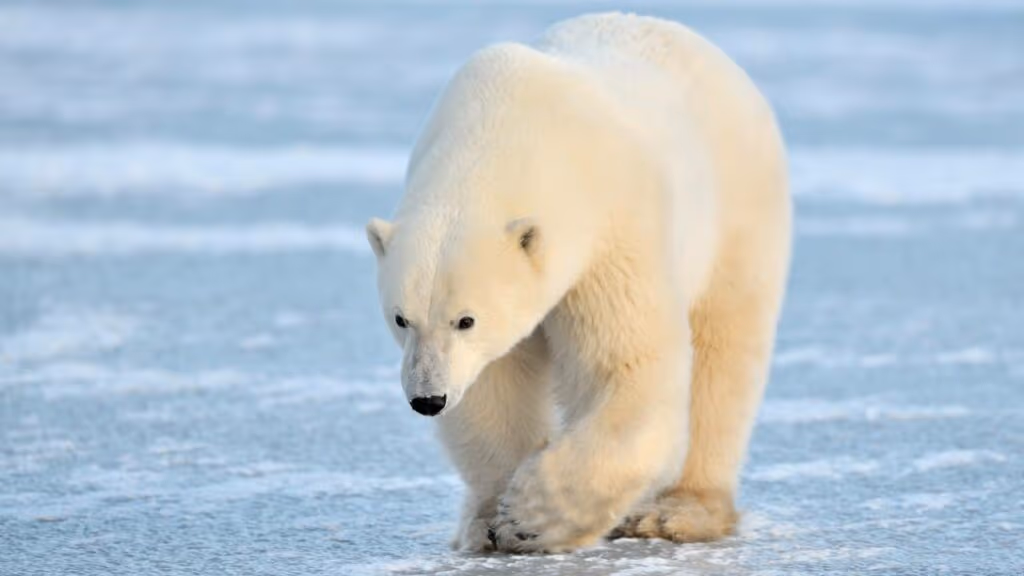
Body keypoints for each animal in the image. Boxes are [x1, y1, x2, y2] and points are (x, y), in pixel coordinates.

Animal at [366, 12, 791, 553]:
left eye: (466, 319)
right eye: (401, 318)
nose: (427, 399)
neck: (509, 128)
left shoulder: (611, 231)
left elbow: (627, 366)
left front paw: (532, 514)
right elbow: (492, 387)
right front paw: (491, 520)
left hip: (736, 215)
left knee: (724, 356)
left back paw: (678, 512)